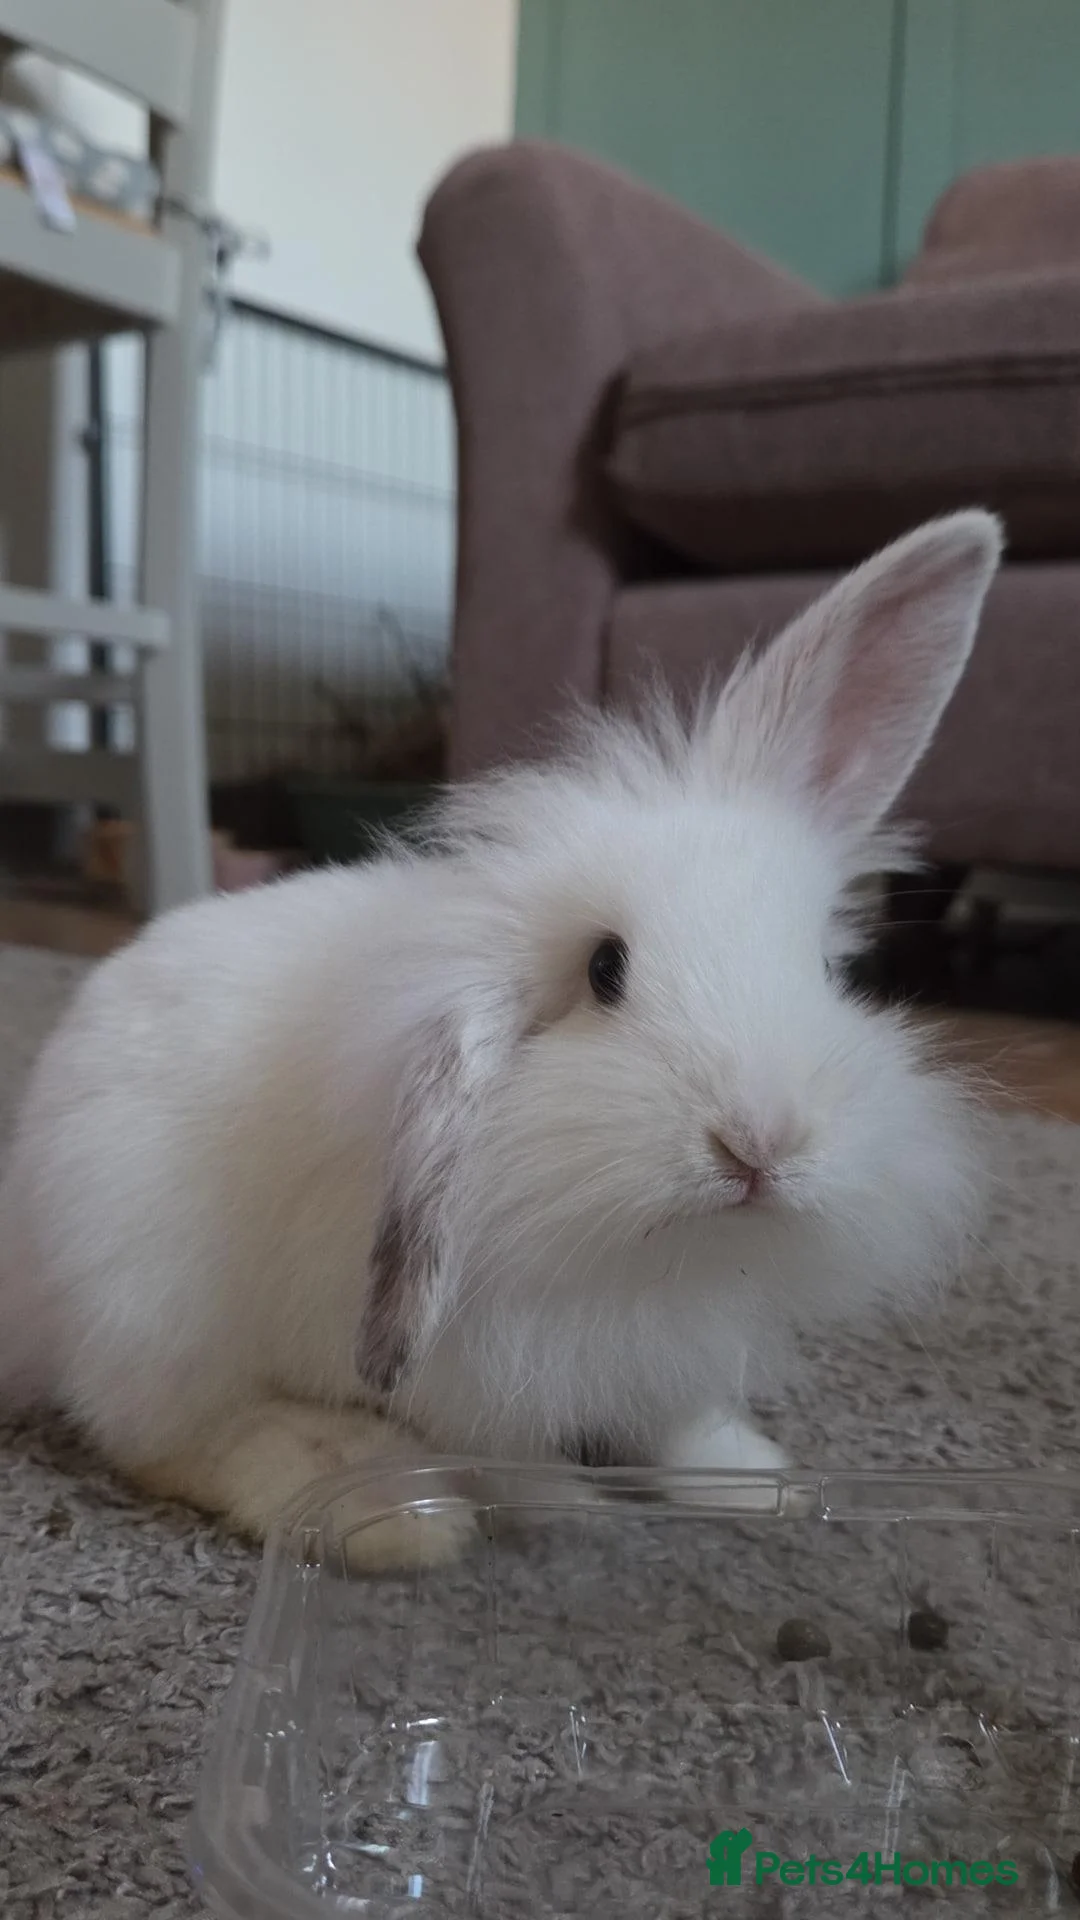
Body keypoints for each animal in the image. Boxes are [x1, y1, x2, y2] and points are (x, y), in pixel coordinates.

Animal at [0, 512, 1000, 1570]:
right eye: (605, 970)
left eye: (827, 971)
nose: (761, 1141)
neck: (654, 1252)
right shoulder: (472, 1384)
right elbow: (515, 1465)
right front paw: (578, 1518)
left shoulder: (672, 1354)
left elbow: (680, 1425)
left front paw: (756, 1482)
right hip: (147, 1306)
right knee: (167, 1439)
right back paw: (377, 1503)